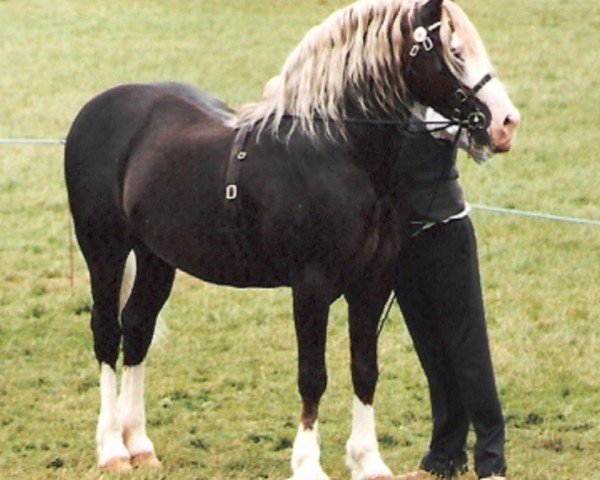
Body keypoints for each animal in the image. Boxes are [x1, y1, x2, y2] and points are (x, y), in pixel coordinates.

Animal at [63, 1, 516, 478]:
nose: (506, 123)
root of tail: (95, 110)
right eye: (455, 51)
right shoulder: (311, 288)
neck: (336, 150)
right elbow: (312, 375)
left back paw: (140, 446)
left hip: (155, 257)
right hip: (105, 252)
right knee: (107, 333)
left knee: (137, 327)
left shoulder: (372, 284)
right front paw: (308, 465)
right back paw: (113, 450)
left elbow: (364, 369)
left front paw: (368, 461)